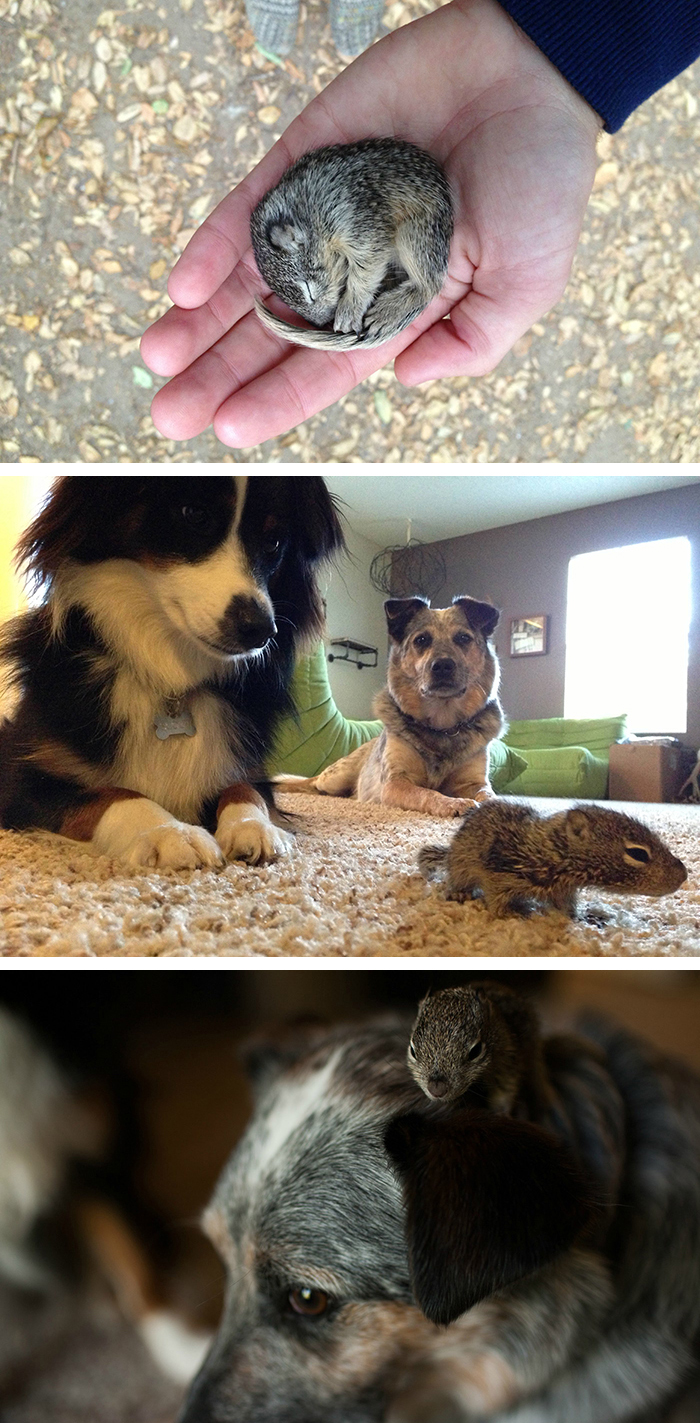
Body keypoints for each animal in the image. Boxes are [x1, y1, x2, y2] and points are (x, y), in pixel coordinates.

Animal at [251, 136, 455, 350]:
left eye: (309, 291)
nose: (322, 323)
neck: (308, 210)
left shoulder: (357, 222)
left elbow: (366, 268)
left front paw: (349, 311)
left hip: (416, 234)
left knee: (429, 286)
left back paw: (387, 312)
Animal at [276, 597, 506, 825]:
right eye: (421, 640)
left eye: (463, 638)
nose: (442, 666)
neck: (442, 726)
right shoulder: (395, 783)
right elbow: (426, 793)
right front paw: (452, 803)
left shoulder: (473, 782)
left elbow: (489, 794)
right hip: (336, 776)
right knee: (312, 783)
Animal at [406, 984, 549, 1115]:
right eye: (412, 1051)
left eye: (476, 1051)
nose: (437, 1089)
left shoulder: (508, 1062)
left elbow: (505, 1090)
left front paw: (500, 1111)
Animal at [418, 802, 685, 922]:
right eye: (638, 854)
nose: (684, 874)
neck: (554, 852)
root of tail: (450, 851)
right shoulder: (500, 873)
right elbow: (496, 899)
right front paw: (513, 913)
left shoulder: (563, 890)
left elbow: (566, 909)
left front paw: (580, 918)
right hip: (461, 864)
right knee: (457, 879)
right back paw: (459, 893)